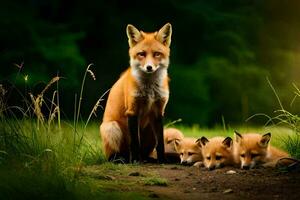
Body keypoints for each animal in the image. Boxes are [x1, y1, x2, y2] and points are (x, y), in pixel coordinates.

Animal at [100, 23, 172, 162]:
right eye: (141, 54)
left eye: (157, 54)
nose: (149, 67)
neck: (150, 90)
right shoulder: (132, 111)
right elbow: (134, 142)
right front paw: (135, 161)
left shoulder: (158, 112)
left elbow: (160, 143)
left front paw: (162, 160)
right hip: (112, 128)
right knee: (115, 156)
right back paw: (124, 160)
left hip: (151, 130)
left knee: (145, 151)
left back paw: (146, 159)